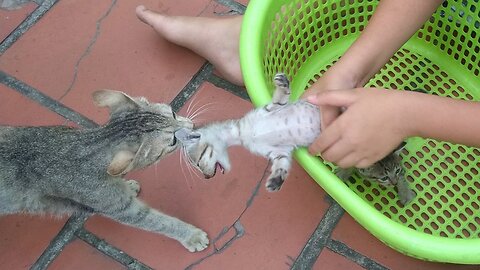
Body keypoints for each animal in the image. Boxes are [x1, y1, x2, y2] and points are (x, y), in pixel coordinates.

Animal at [0, 89, 209, 252]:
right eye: (173, 141)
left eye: (173, 113)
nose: (193, 126)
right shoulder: (122, 210)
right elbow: (159, 222)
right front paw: (191, 236)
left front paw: (127, 185)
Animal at [176, 73, 416, 206]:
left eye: (197, 162)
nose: (207, 177)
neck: (242, 132)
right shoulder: (278, 151)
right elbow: (282, 164)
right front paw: (276, 180)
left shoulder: (273, 109)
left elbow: (281, 98)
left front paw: (282, 83)